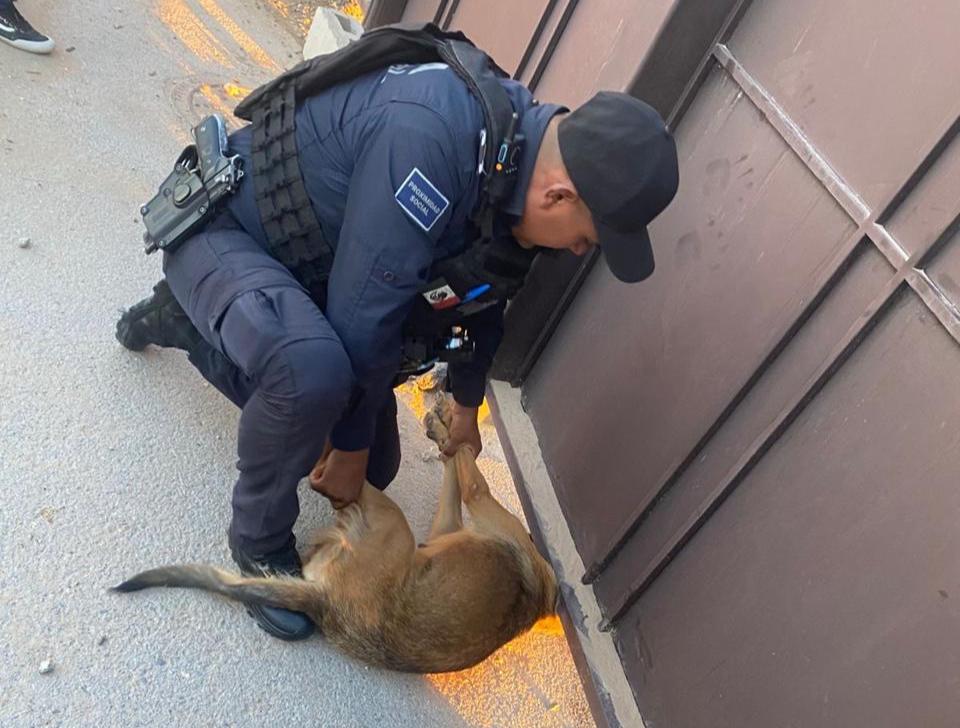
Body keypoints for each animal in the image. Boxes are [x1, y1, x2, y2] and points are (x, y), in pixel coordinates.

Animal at [112, 396, 559, 673]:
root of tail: (327, 602)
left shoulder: (477, 497)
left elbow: (466, 466)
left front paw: (448, 424)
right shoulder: (444, 527)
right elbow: (455, 460)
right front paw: (443, 423)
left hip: (390, 521)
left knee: (329, 471)